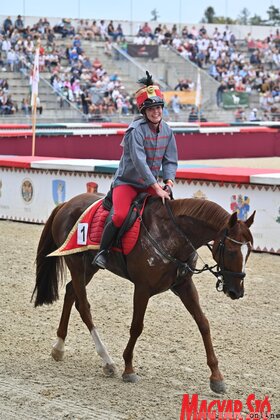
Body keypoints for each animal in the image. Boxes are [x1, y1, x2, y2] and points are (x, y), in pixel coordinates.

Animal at [31, 194, 255, 394]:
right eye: (232, 250)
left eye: (249, 252)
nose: (237, 290)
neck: (172, 234)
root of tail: (67, 203)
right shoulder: (142, 288)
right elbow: (136, 327)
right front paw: (128, 369)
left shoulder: (184, 285)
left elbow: (203, 324)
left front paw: (216, 377)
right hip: (77, 264)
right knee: (84, 307)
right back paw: (107, 361)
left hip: (89, 267)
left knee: (71, 293)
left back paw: (59, 347)